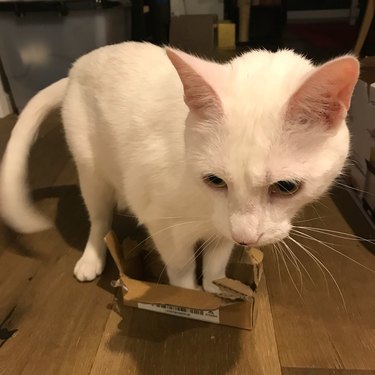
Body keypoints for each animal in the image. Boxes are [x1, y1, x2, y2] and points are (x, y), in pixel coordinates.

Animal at [1, 41, 362, 294]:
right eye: (215, 180)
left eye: (286, 187)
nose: (246, 238)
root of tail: (77, 66)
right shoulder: (164, 226)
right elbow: (181, 270)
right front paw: (191, 298)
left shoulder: (223, 230)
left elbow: (216, 264)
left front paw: (218, 291)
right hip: (91, 172)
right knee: (99, 221)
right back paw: (91, 258)